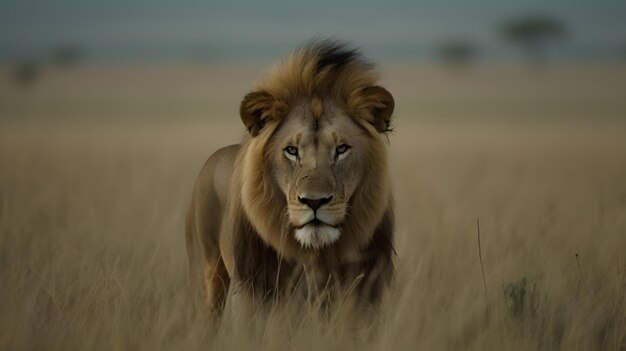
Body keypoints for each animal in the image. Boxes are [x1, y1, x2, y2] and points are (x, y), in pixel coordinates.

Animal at [183, 39, 392, 322]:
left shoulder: (363, 294)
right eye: (292, 150)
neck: (316, 256)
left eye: (341, 149)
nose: (314, 202)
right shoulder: (252, 294)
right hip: (206, 276)